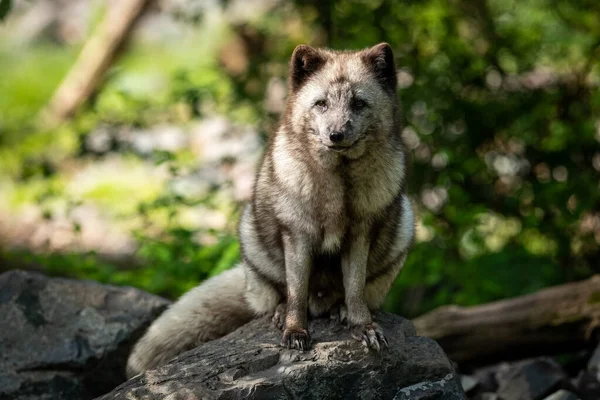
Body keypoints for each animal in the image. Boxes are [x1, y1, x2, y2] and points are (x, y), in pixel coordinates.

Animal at [126, 43, 414, 378]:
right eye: (321, 103)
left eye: (358, 103)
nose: (336, 135)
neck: (338, 185)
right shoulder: (297, 234)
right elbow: (297, 292)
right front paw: (295, 332)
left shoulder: (360, 233)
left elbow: (354, 288)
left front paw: (363, 326)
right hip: (250, 233)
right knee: (277, 295)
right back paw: (279, 311)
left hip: (405, 226)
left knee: (355, 294)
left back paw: (340, 308)